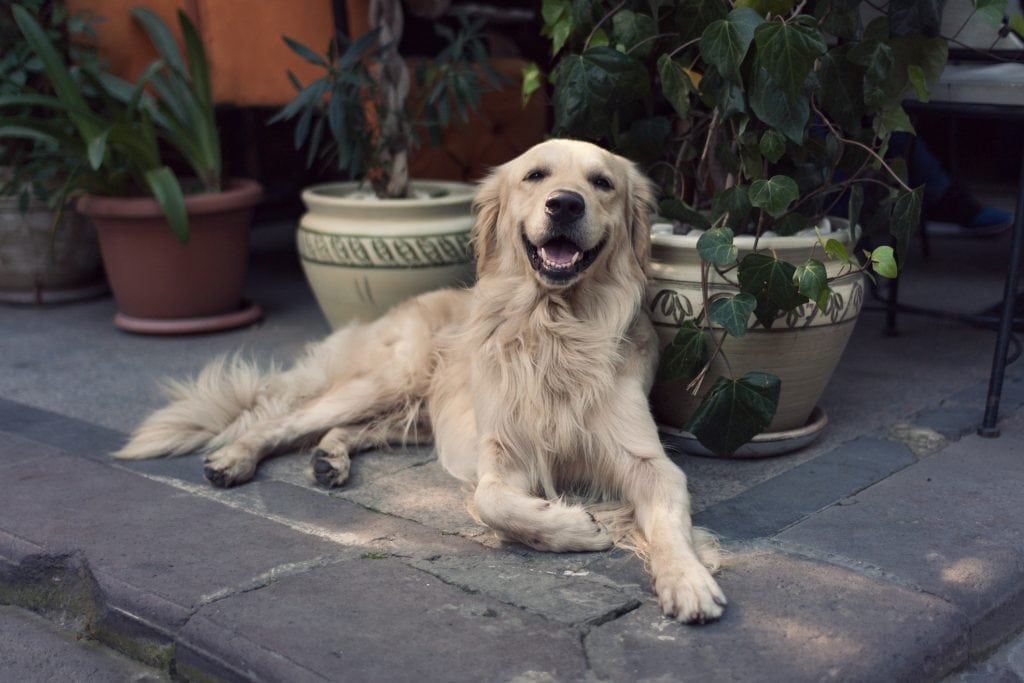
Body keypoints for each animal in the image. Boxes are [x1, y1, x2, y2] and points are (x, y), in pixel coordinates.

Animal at [116, 139, 729, 626]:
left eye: (601, 183)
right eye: (536, 176)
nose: (565, 203)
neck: (554, 325)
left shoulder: (647, 460)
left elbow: (669, 523)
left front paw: (687, 577)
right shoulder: (501, 454)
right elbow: (493, 503)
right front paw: (576, 528)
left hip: (416, 412)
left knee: (353, 429)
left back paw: (329, 459)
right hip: (389, 378)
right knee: (285, 421)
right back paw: (235, 458)